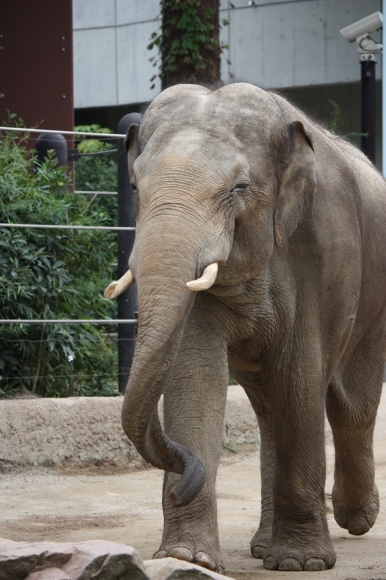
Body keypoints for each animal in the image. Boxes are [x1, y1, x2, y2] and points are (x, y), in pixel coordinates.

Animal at [105, 84, 386, 572]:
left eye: (239, 189)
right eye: (135, 187)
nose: (183, 480)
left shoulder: (324, 250)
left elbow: (299, 373)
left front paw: (300, 564)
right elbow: (196, 373)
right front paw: (188, 558)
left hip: (375, 300)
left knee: (351, 404)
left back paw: (355, 518)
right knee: (271, 407)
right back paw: (262, 547)